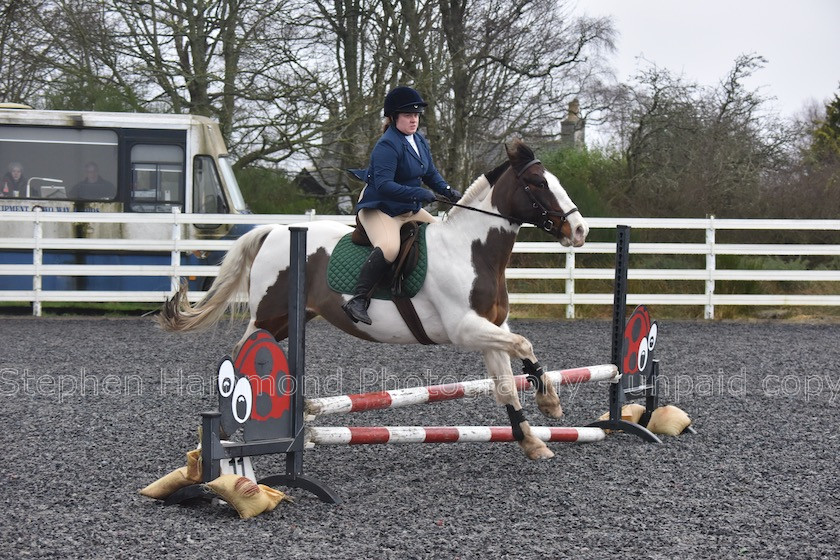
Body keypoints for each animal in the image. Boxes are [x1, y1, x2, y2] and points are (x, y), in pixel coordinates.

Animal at [159, 140, 592, 460]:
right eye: (537, 183)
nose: (580, 230)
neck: (473, 251)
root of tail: (277, 230)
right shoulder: (465, 329)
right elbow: (525, 344)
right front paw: (551, 404)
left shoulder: (492, 328)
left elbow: (507, 381)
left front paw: (533, 439)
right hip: (269, 316)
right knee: (239, 354)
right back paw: (225, 432)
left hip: (287, 321)